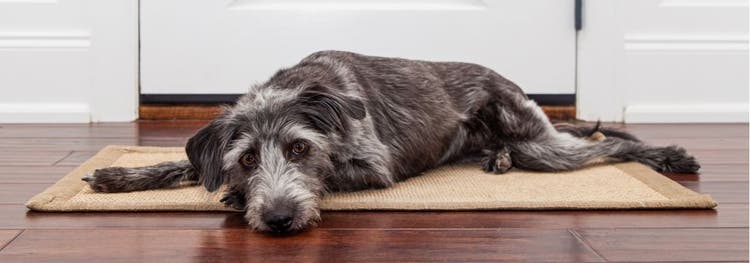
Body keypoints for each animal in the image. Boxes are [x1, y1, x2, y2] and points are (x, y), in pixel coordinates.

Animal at [85, 50, 704, 234]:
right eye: (246, 158)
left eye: (300, 150)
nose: (280, 220)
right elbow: (183, 164)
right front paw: (117, 176)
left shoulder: (373, 168)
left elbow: (336, 173)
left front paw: (239, 199)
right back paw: (497, 158)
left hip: (541, 143)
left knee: (608, 146)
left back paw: (666, 155)